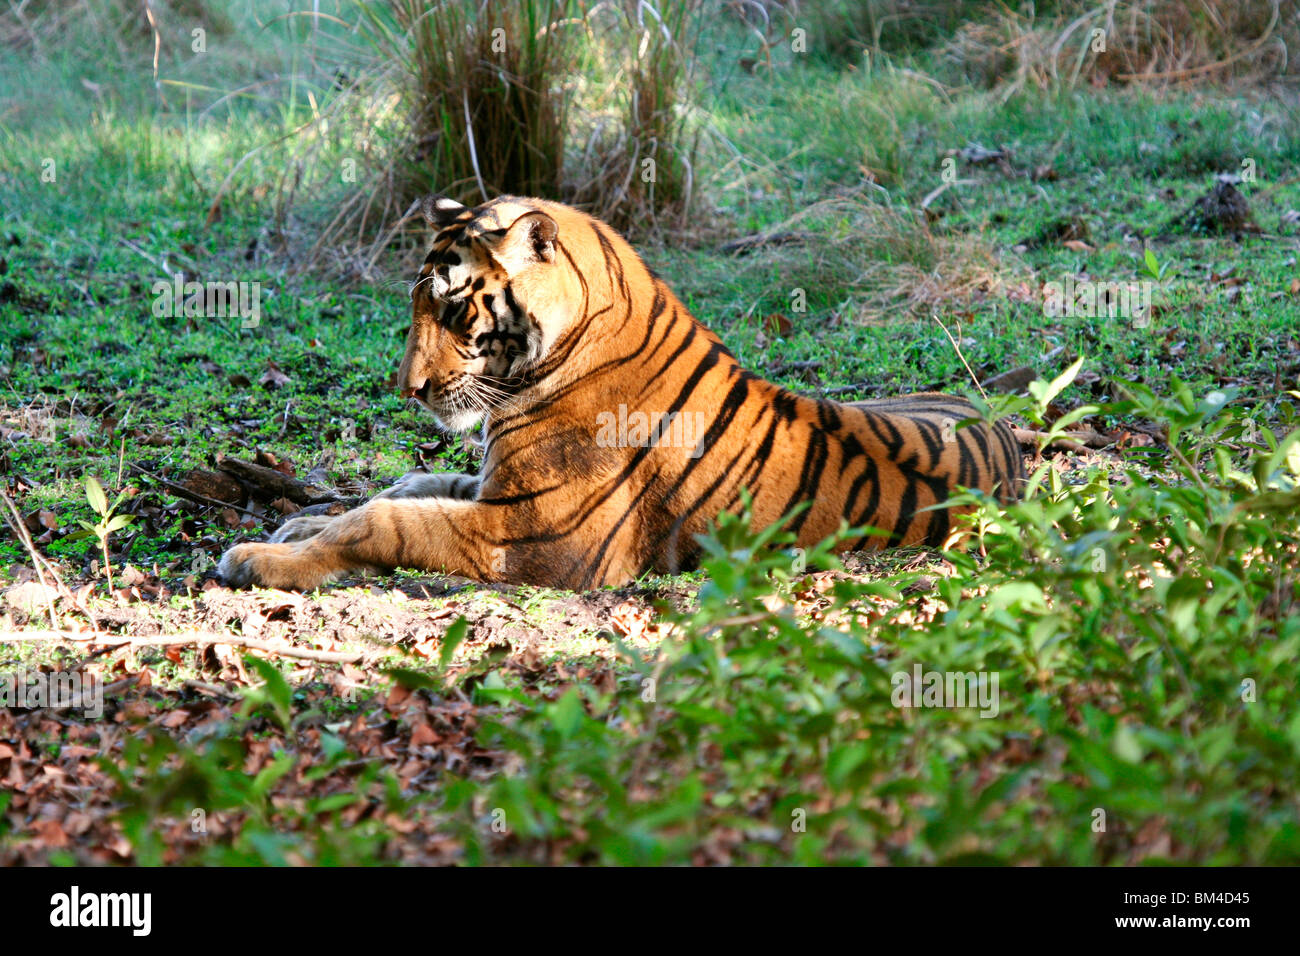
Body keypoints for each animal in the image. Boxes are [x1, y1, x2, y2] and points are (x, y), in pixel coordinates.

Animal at [218, 195, 1019, 590]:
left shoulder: (535, 535)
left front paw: (257, 557)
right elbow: (404, 486)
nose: (408, 388)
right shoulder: (493, 484)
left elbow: (388, 520)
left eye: (451, 311)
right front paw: (295, 525)